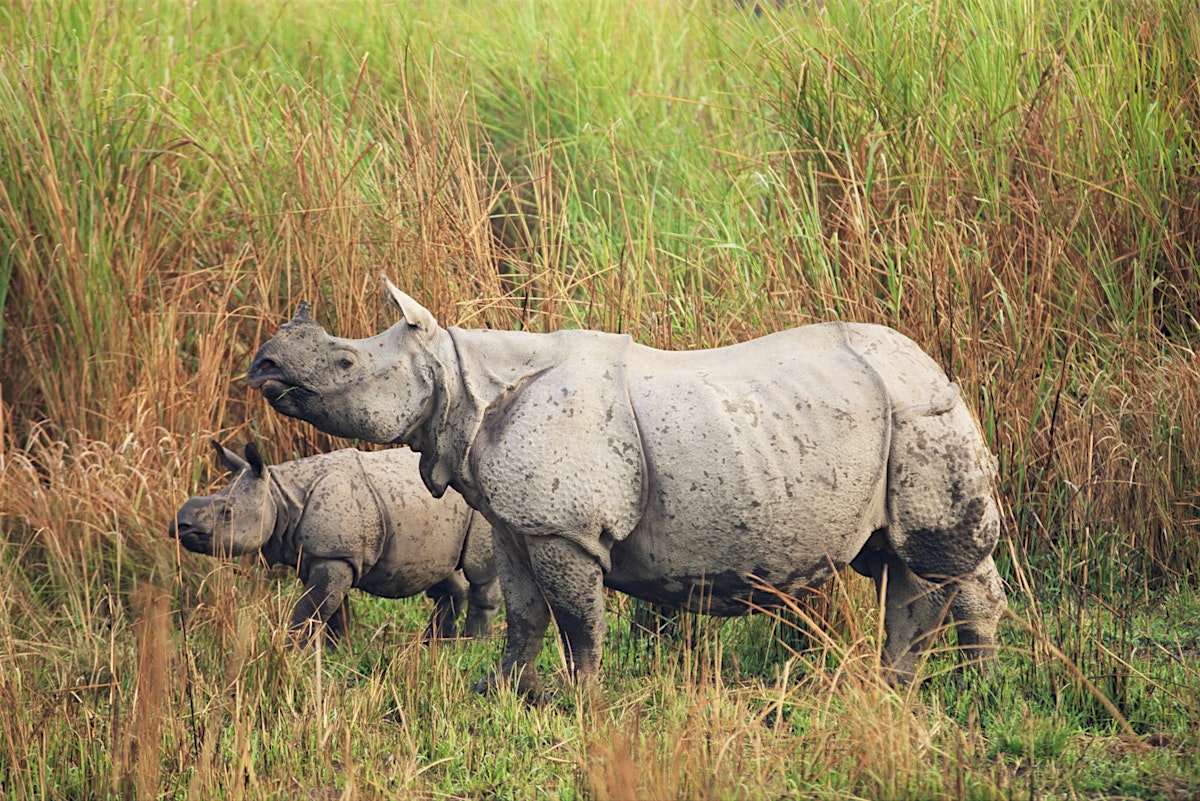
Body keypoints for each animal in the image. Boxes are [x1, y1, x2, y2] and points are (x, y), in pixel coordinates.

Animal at [171, 438, 499, 642]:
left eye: (227, 513)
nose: (179, 526)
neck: (279, 495)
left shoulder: (334, 556)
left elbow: (311, 611)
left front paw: (292, 652)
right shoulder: (320, 557)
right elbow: (332, 610)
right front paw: (339, 651)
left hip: (480, 502)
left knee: (479, 573)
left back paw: (473, 644)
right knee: (447, 574)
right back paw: (435, 645)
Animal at [248, 282, 1008, 695]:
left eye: (344, 363)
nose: (263, 364)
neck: (459, 376)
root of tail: (935, 365)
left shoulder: (565, 526)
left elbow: (577, 617)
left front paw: (577, 696)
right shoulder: (516, 523)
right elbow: (525, 612)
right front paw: (500, 688)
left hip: (922, 412)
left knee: (938, 559)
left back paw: (958, 684)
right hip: (889, 416)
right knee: (899, 561)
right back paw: (914, 683)